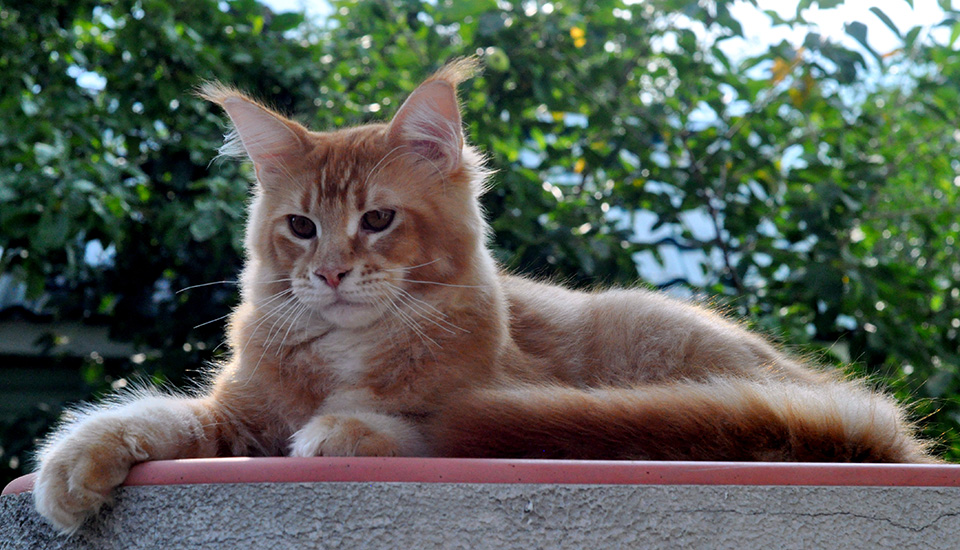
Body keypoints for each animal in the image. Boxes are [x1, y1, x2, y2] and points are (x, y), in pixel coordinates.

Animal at [33, 59, 932, 536]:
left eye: (377, 220)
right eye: (300, 227)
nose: (328, 274)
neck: (351, 350)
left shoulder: (491, 398)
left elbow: (407, 428)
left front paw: (345, 429)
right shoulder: (240, 412)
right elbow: (159, 414)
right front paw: (73, 464)